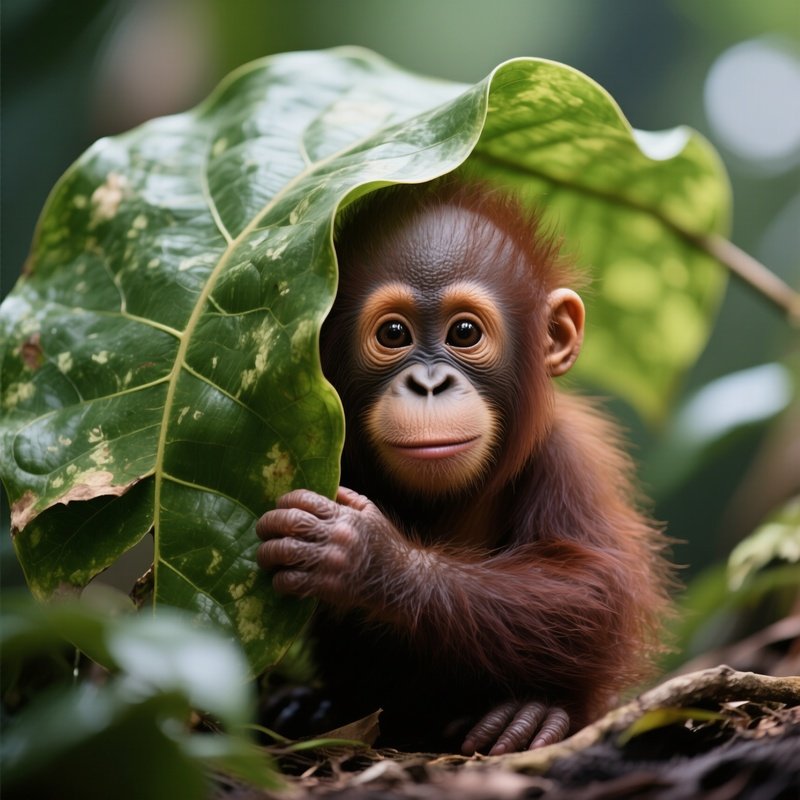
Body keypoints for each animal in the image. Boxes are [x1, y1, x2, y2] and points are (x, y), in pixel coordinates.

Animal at [256, 179, 672, 755]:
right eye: (393, 334)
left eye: (465, 333)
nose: (428, 384)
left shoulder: (567, 458)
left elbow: (595, 585)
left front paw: (370, 557)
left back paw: (529, 718)